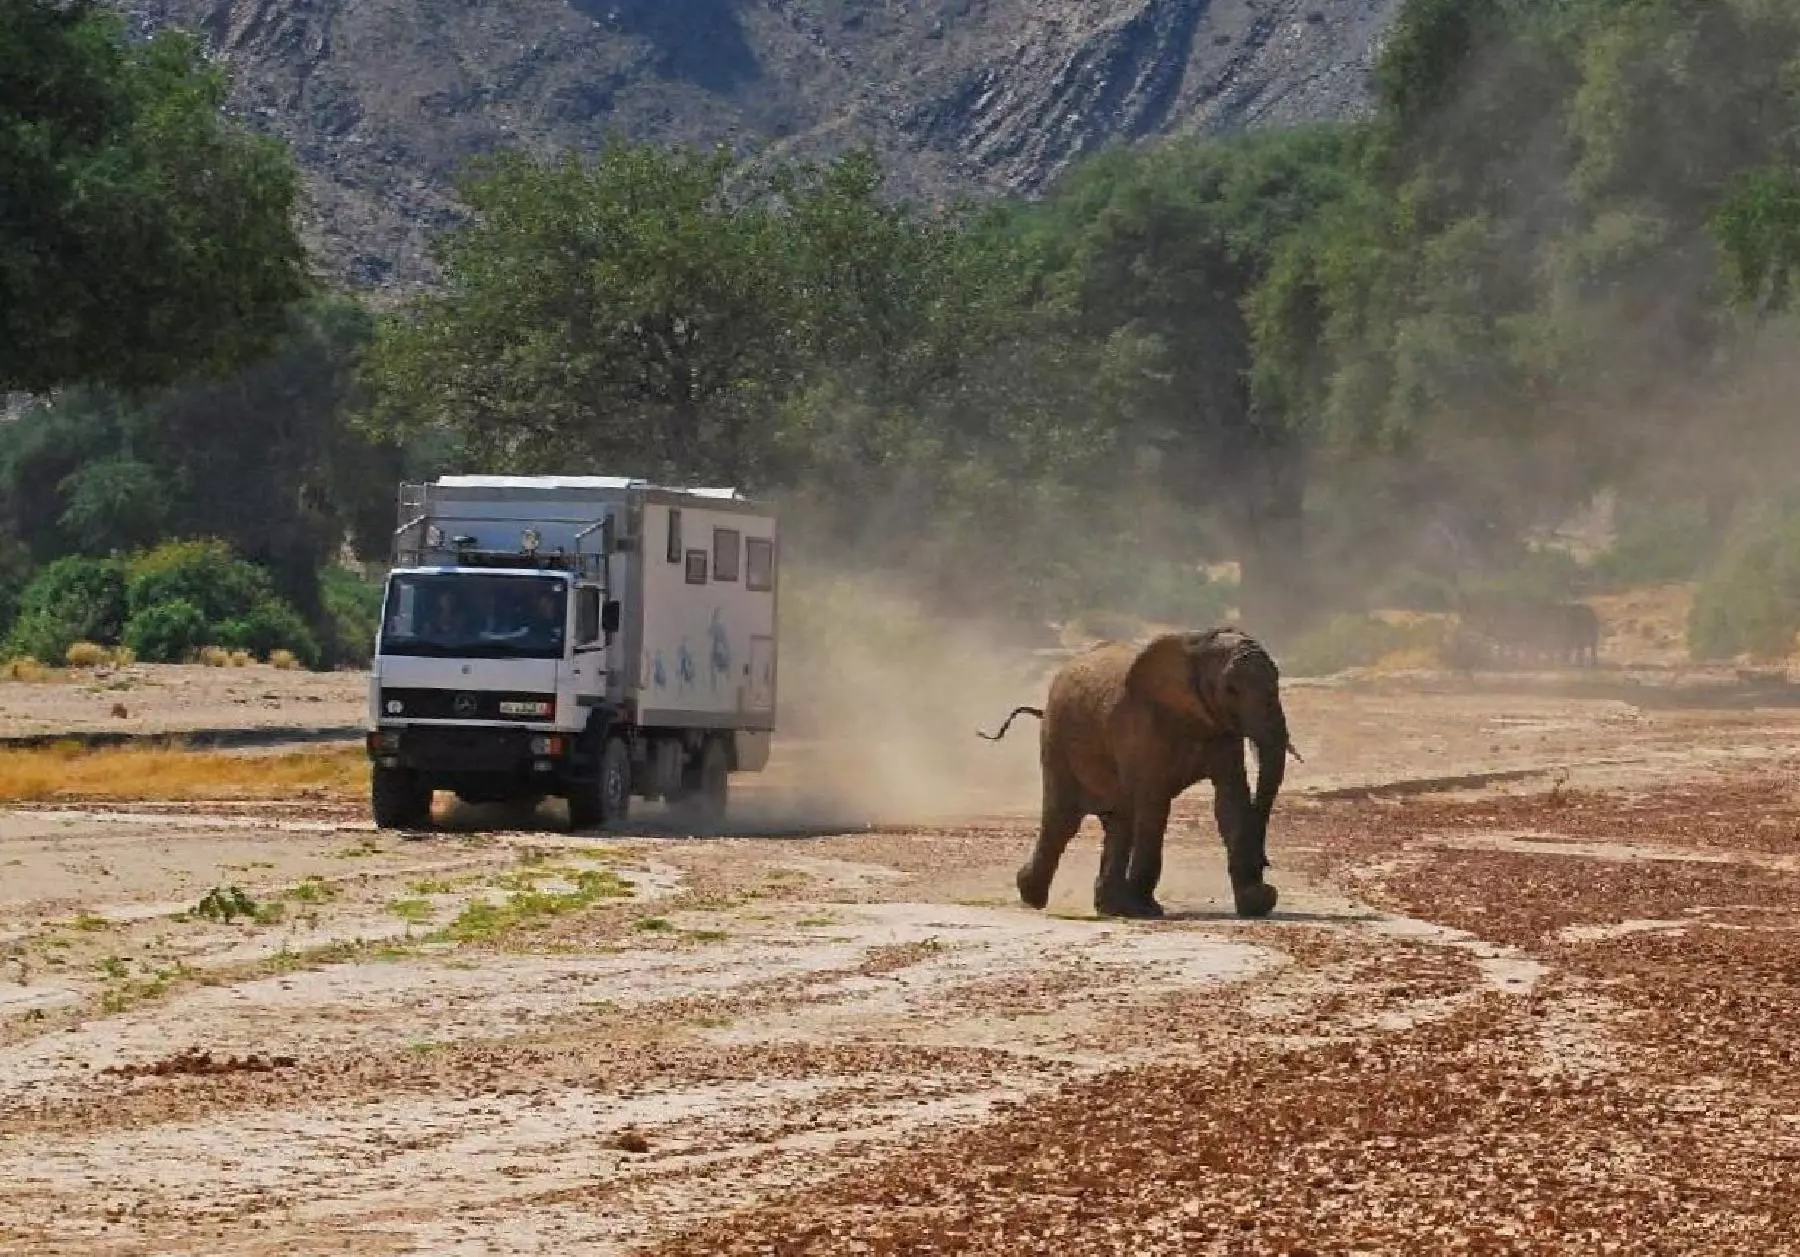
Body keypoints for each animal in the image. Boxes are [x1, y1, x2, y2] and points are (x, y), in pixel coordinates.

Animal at [979, 626, 1303, 922]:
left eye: (1277, 681)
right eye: (1230, 690)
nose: (1265, 867)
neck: (1197, 645)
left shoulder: (1219, 727)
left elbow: (1230, 799)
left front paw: (1256, 904)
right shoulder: (1141, 724)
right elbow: (1154, 802)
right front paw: (1146, 911)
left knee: (1119, 821)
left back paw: (1110, 907)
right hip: (1056, 738)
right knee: (1064, 820)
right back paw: (1034, 897)